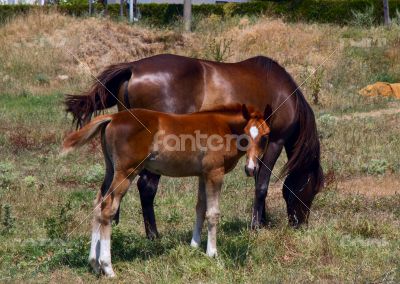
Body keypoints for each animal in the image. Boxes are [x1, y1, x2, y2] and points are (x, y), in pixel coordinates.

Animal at [61, 103, 270, 276]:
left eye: (265, 136)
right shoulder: (214, 173)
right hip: (126, 172)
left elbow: (200, 208)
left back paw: (94, 264)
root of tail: (113, 117)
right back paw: (107, 267)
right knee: (107, 209)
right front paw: (212, 253)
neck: (224, 127)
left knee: (98, 205)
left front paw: (194, 246)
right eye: (245, 135)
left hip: (110, 169)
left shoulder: (202, 174)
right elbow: (212, 213)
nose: (251, 169)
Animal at [65, 53, 322, 237]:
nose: (301, 224)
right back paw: (153, 235)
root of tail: (134, 68)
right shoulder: (274, 142)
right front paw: (257, 225)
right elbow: (262, 185)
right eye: (314, 188)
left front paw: (262, 219)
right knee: (146, 187)